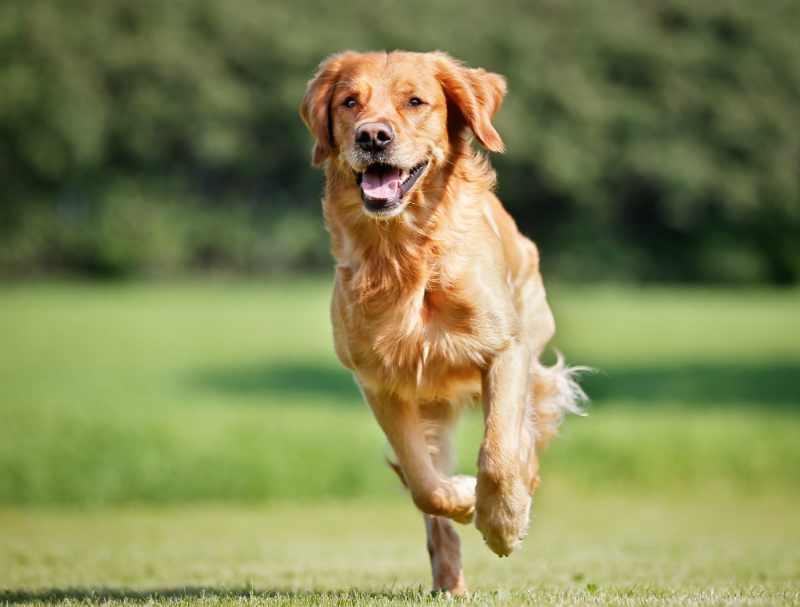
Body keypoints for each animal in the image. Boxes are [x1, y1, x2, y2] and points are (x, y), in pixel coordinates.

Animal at [300, 51, 580, 592]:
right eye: (350, 102)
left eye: (415, 101)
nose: (372, 136)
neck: (403, 253)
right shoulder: (378, 381)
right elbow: (423, 484)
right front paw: (466, 499)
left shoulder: (505, 350)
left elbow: (499, 453)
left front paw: (503, 521)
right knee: (433, 503)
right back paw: (450, 574)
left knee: (525, 440)